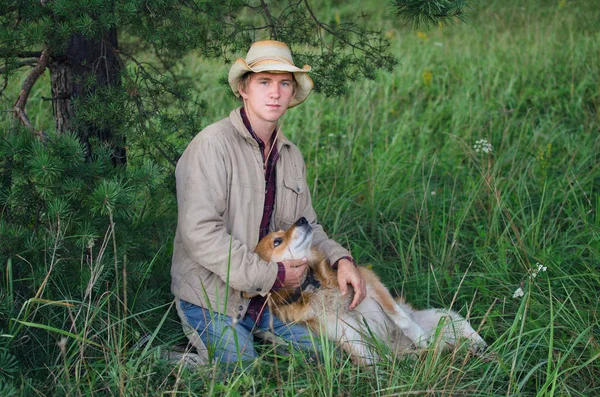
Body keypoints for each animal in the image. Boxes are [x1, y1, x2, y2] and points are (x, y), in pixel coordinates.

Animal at [251, 217, 490, 366]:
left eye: (282, 232)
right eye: (277, 241)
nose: (302, 219)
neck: (315, 284)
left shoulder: (368, 282)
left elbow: (400, 318)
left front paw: (421, 338)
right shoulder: (343, 333)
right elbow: (367, 357)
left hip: (443, 317)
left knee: (464, 328)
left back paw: (482, 349)